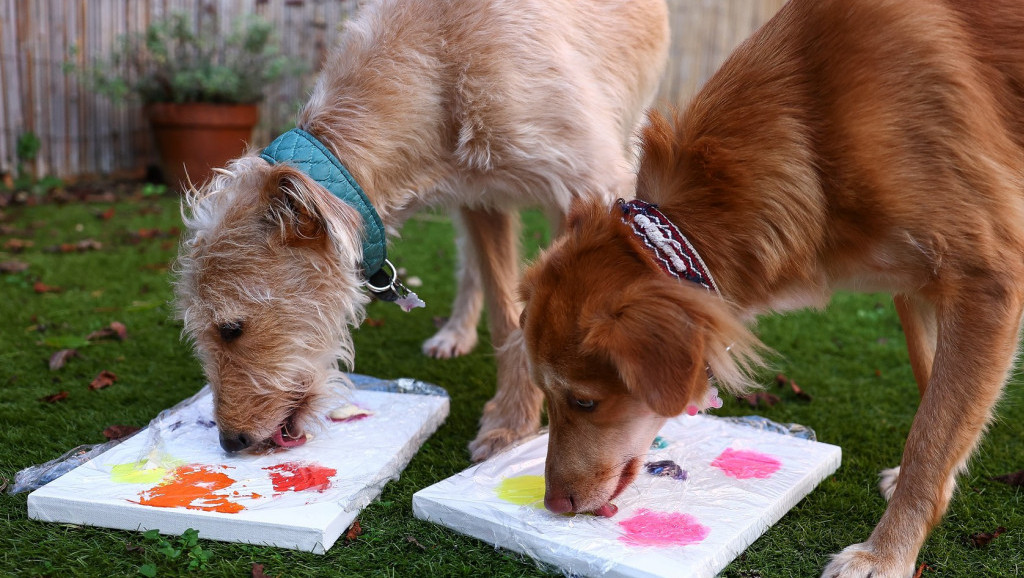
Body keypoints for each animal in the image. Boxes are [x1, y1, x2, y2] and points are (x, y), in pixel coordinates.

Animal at [520, 0, 1024, 573]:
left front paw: (886, 553)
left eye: (584, 402)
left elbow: (931, 435)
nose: (553, 504)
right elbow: (932, 390)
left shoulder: (987, 280)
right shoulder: (916, 287)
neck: (816, 126)